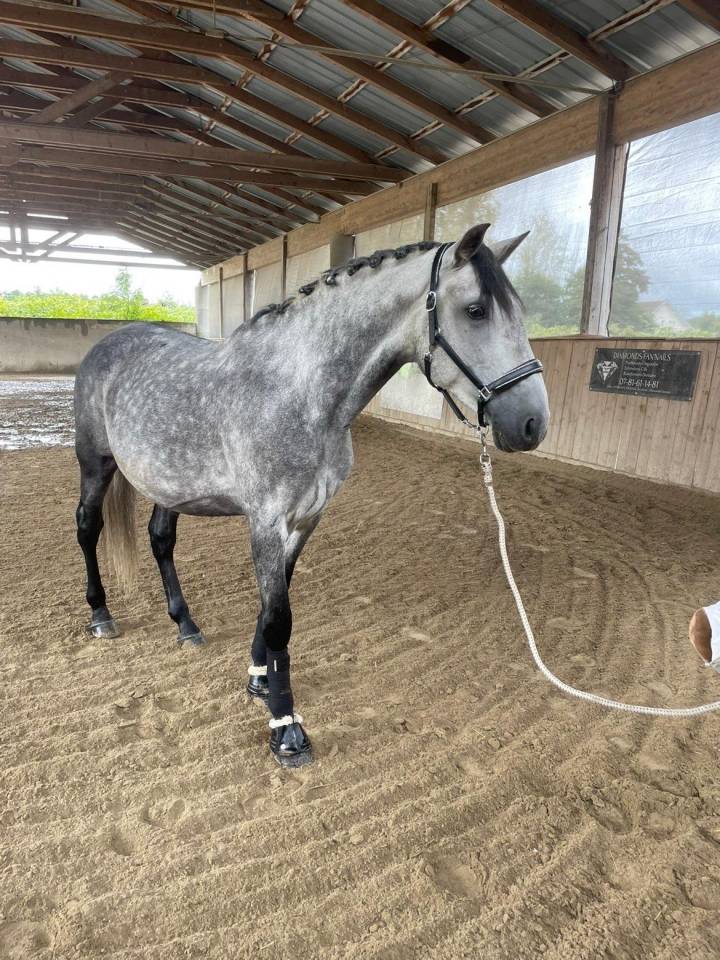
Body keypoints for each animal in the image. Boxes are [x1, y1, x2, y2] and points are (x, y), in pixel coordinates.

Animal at [73, 223, 549, 767]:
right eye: (476, 310)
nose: (533, 423)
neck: (299, 395)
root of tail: (110, 341)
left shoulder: (307, 518)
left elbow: (273, 602)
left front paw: (261, 681)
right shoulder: (266, 521)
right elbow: (279, 618)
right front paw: (286, 728)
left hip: (169, 484)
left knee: (159, 539)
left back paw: (186, 624)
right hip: (95, 465)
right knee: (88, 527)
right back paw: (101, 616)